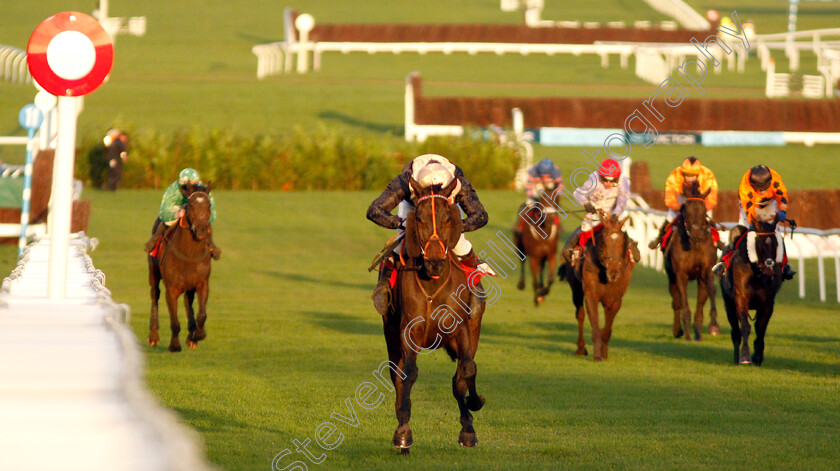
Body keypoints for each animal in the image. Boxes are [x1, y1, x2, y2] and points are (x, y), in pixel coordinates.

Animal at [148, 186, 213, 352]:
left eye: (209, 205)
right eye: (190, 205)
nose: (201, 230)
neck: (188, 255)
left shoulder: (202, 283)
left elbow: (202, 314)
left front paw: (197, 335)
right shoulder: (171, 289)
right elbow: (175, 321)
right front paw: (175, 345)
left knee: (188, 301)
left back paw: (191, 334)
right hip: (153, 272)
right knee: (154, 295)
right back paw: (153, 336)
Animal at [380, 177, 486, 454]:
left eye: (448, 217)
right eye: (419, 218)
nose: (435, 262)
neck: (433, 282)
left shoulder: (460, 329)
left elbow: (467, 369)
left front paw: (474, 408)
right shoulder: (409, 330)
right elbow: (408, 373)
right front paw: (403, 433)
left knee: (460, 376)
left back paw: (467, 425)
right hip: (390, 335)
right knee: (396, 375)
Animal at [560, 213, 632, 362]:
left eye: (623, 241)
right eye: (603, 241)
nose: (613, 273)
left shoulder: (615, 300)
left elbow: (607, 330)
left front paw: (604, 354)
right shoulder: (591, 296)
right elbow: (595, 326)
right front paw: (597, 356)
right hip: (576, 289)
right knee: (580, 315)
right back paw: (581, 348)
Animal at [664, 183, 720, 342]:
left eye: (704, 210)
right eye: (686, 210)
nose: (695, 234)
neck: (694, 244)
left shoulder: (706, 270)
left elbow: (711, 289)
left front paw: (713, 326)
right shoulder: (680, 274)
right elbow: (683, 301)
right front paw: (687, 335)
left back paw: (697, 332)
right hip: (671, 277)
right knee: (676, 302)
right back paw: (678, 330)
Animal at [720, 217, 796, 366]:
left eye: (776, 243)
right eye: (760, 244)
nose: (769, 267)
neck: (757, 274)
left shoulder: (767, 302)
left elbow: (760, 329)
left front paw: (758, 356)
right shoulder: (741, 298)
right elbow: (745, 327)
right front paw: (745, 356)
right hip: (729, 304)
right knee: (735, 331)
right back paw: (736, 357)